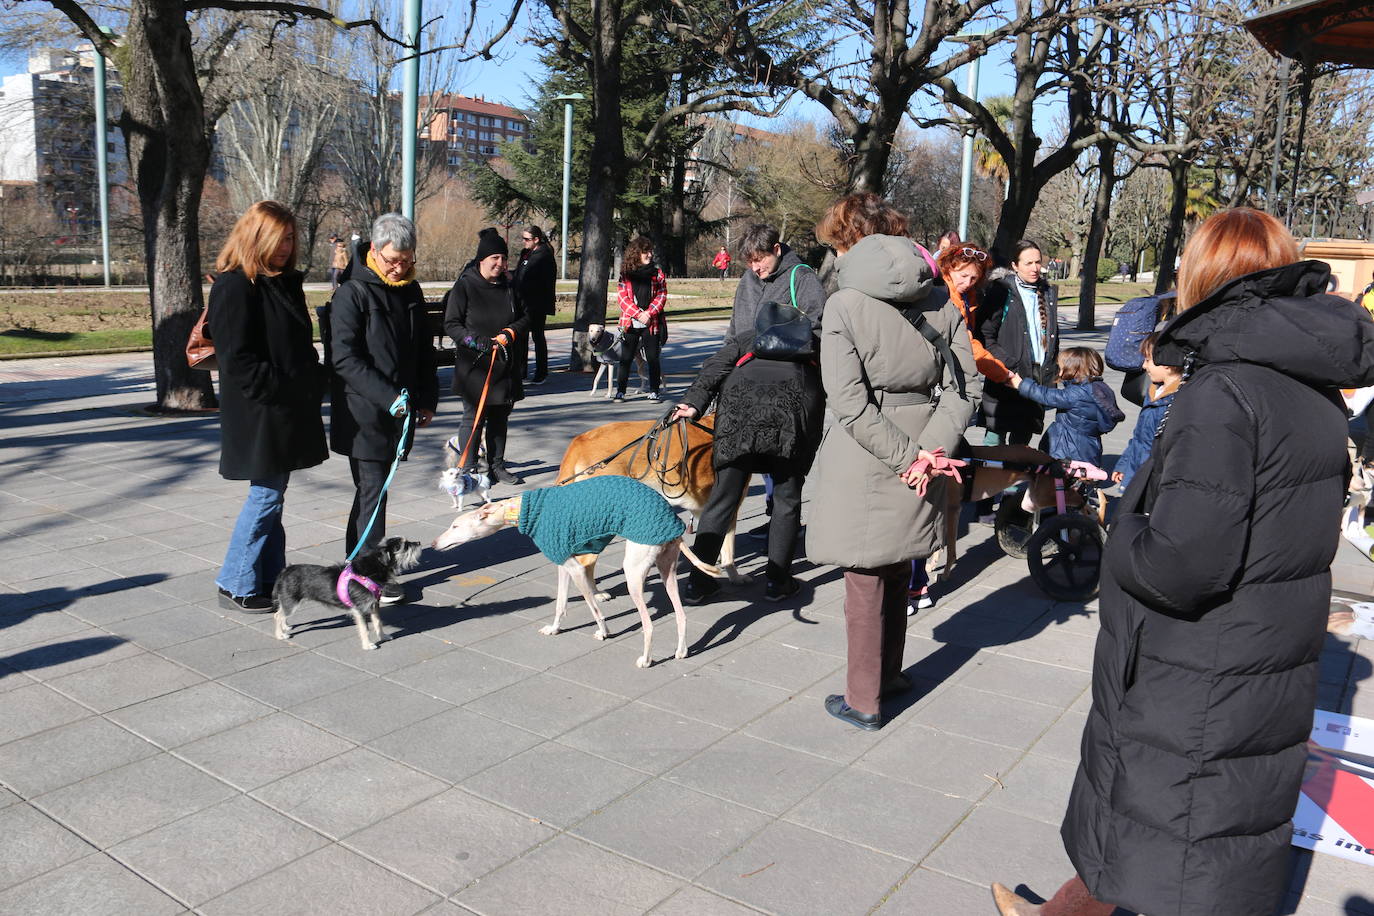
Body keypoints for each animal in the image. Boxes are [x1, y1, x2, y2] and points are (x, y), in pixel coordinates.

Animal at [267, 538, 417, 650]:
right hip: (292, 602)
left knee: (281, 613)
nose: (419, 543)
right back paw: (280, 635)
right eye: (404, 546)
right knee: (277, 615)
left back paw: (285, 627)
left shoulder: (374, 605)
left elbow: (378, 622)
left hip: (289, 601)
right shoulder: (360, 609)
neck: (372, 569)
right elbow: (365, 629)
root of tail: (285, 571)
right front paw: (368, 645)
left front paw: (383, 637)